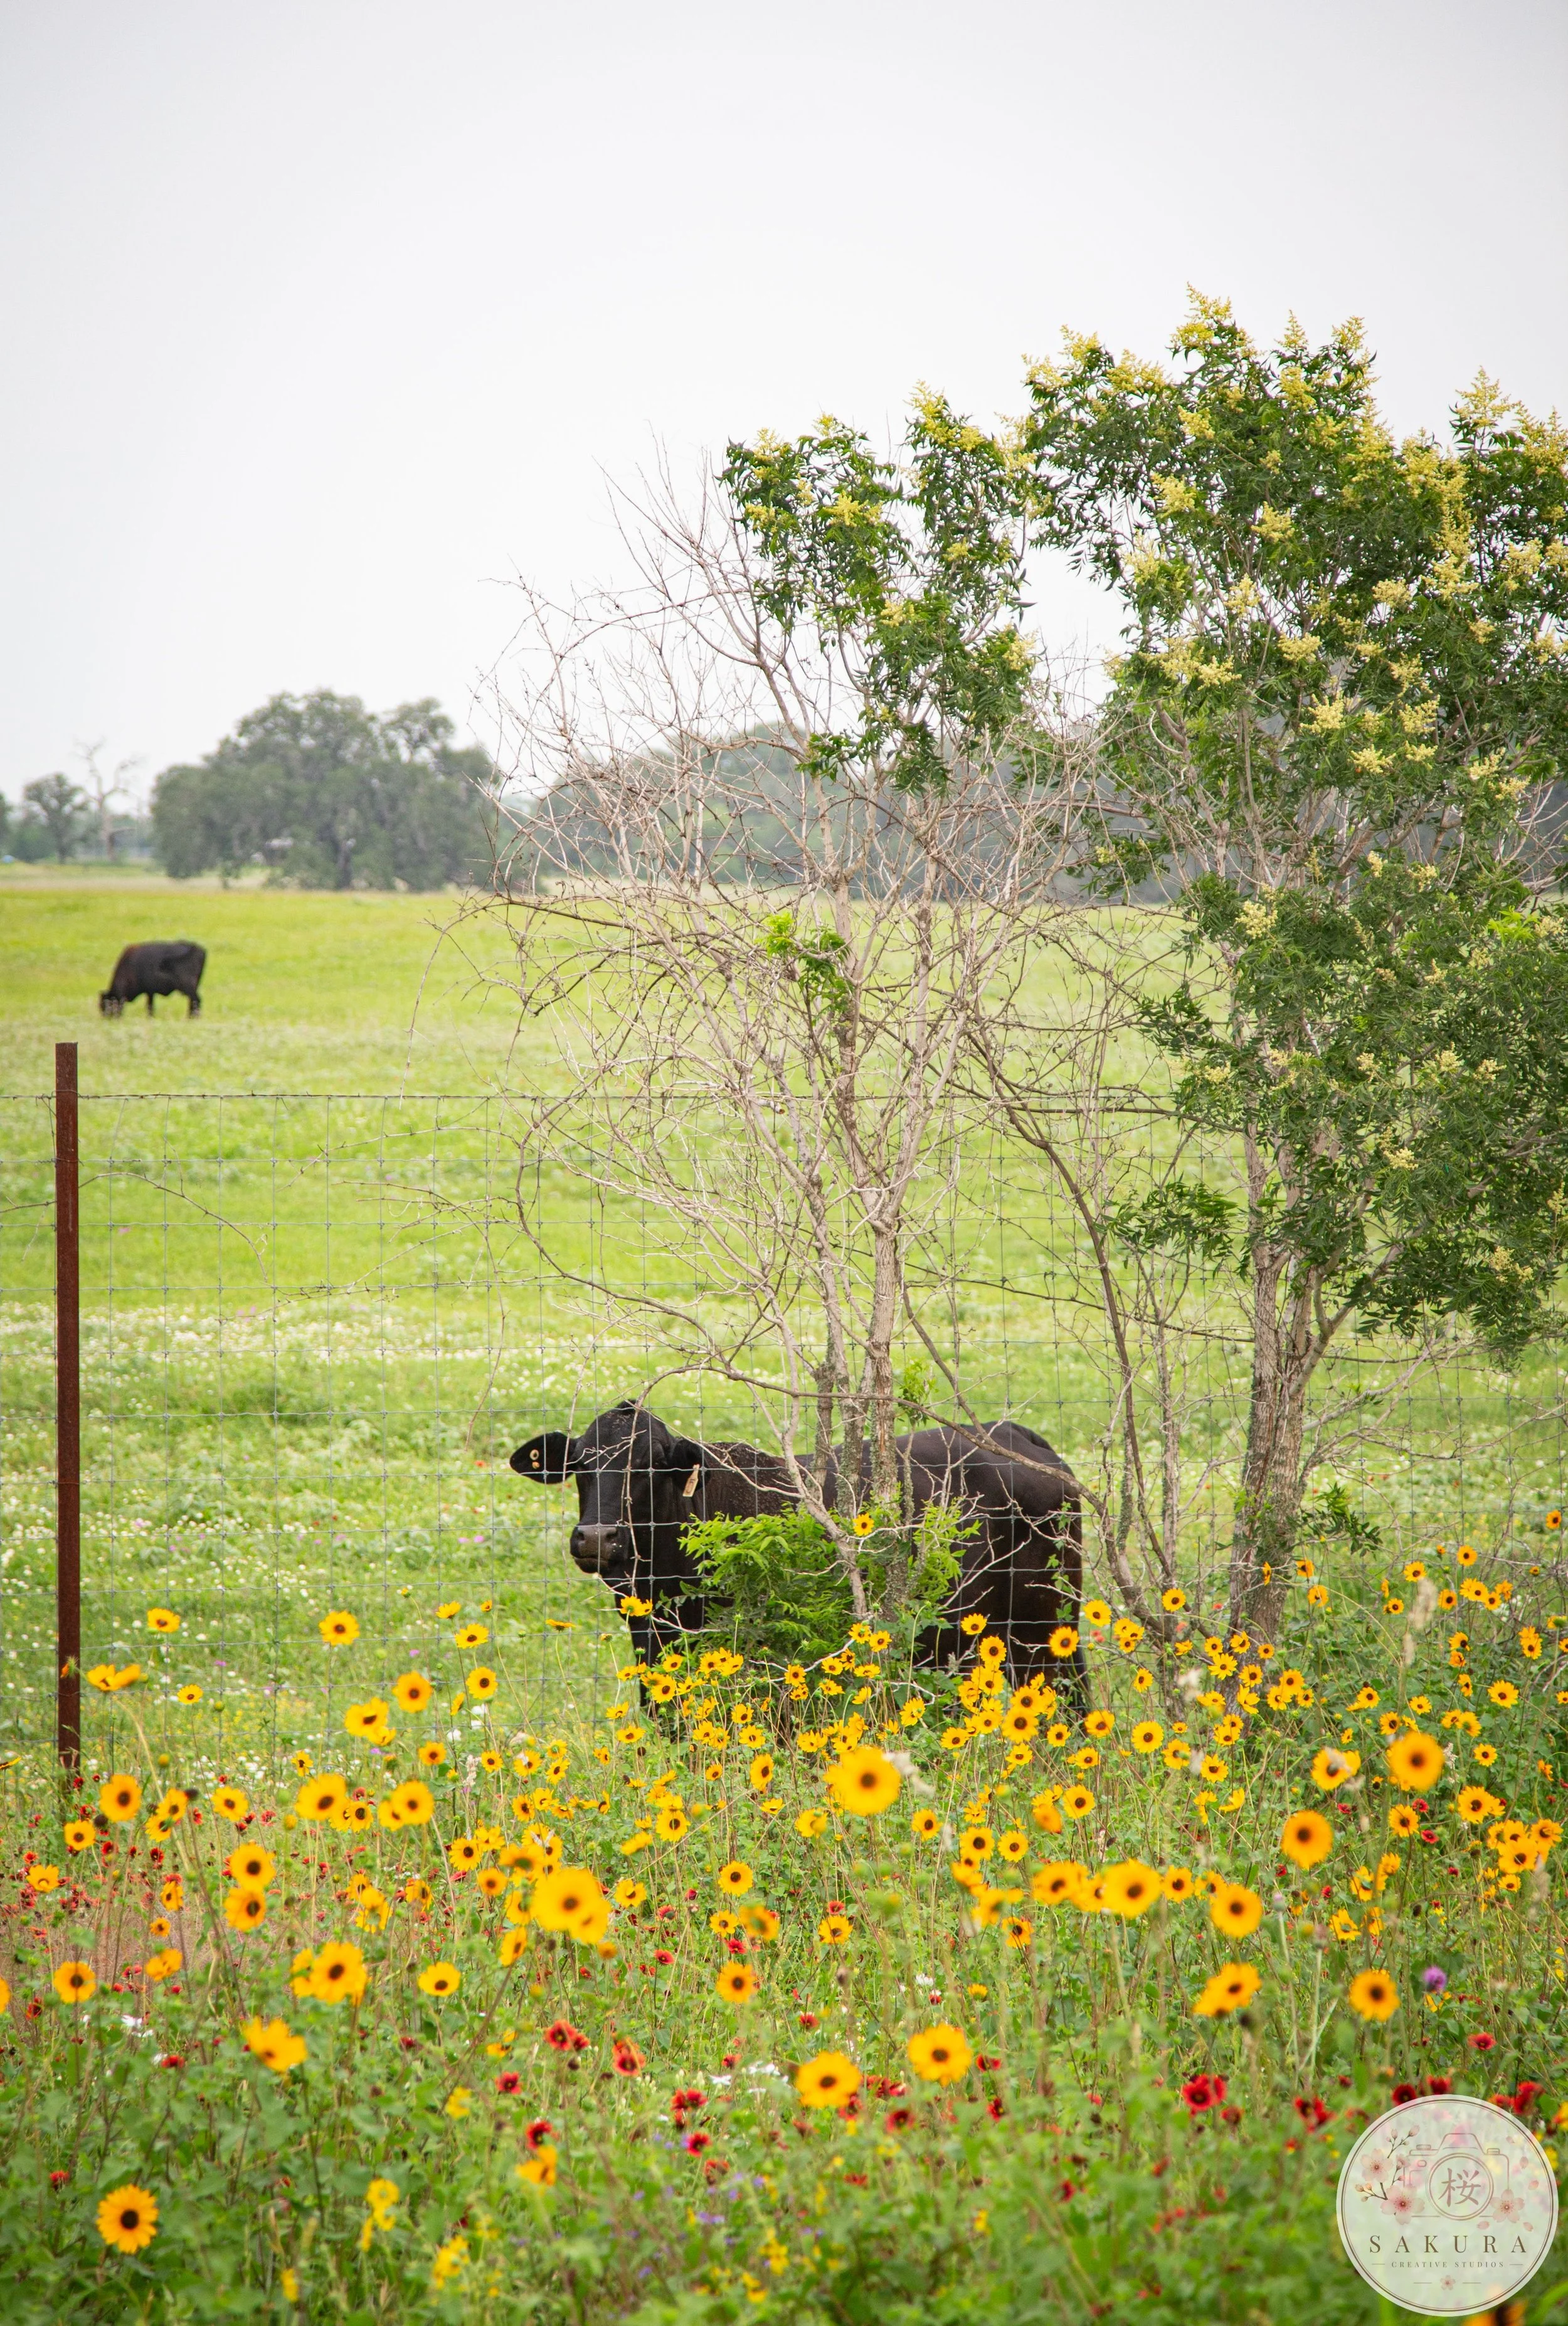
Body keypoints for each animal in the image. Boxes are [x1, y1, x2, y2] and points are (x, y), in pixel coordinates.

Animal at [99, 941, 207, 1018]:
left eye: (106, 1004)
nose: (107, 1018)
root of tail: (198, 948)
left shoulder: (149, 991)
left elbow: (149, 1007)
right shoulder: (150, 992)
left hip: (188, 987)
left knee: (196, 1000)